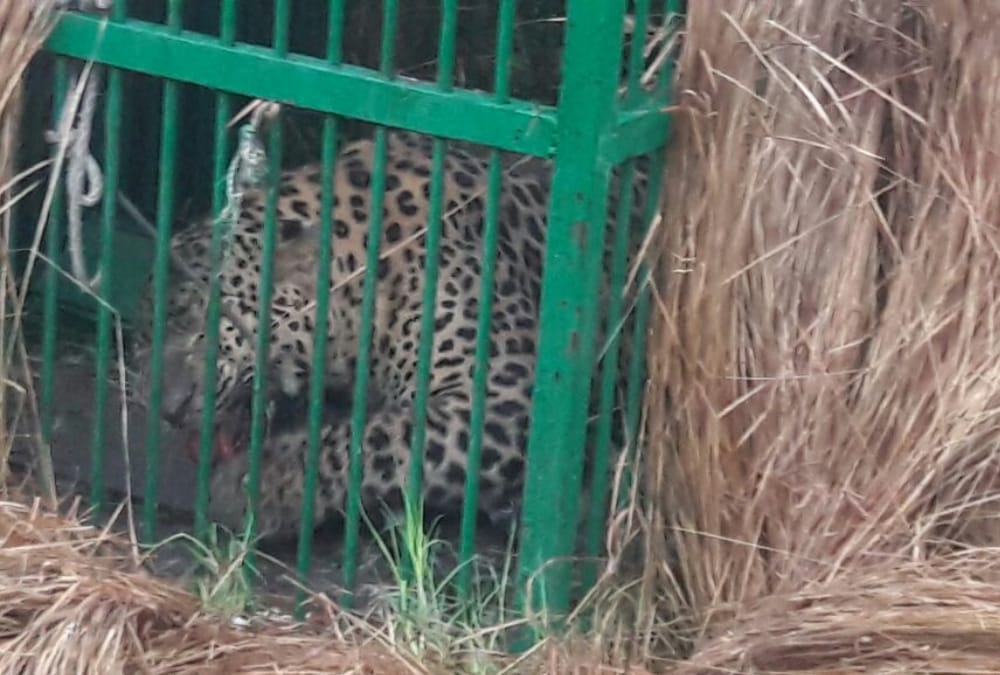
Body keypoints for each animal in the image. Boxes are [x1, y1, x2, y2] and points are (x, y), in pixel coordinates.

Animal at [131, 130, 652, 542]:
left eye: (203, 327)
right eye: (146, 331)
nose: (170, 410)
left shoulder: (503, 396)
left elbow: (379, 437)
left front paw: (263, 486)